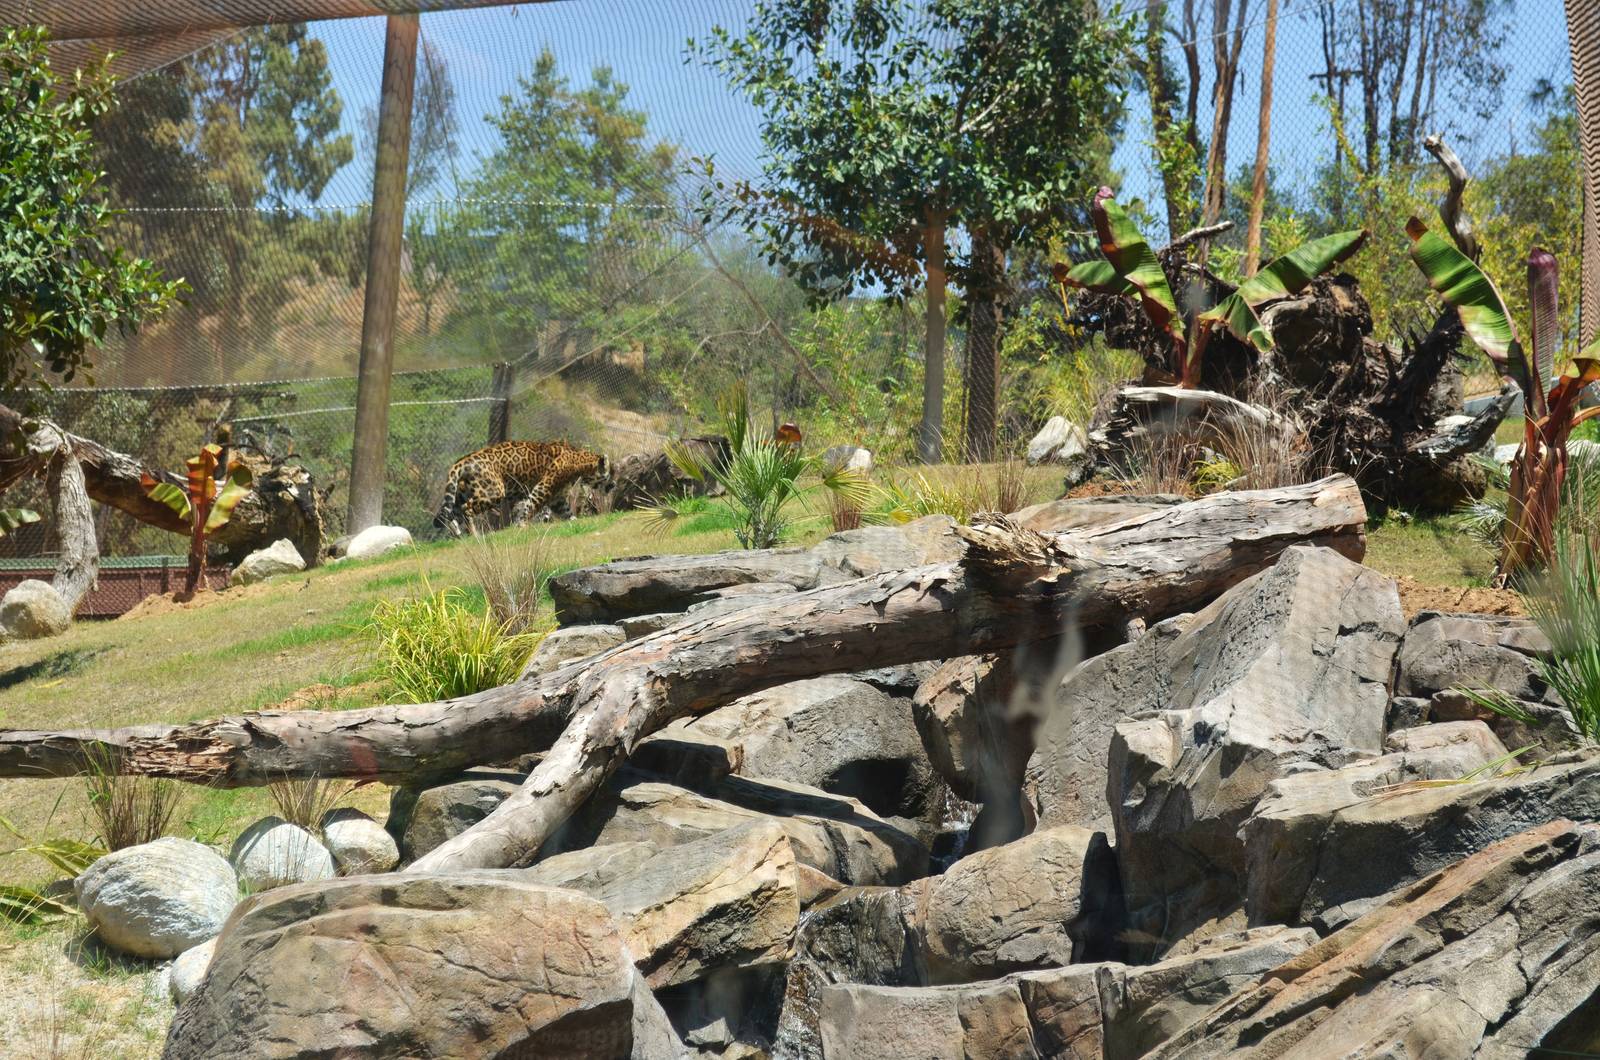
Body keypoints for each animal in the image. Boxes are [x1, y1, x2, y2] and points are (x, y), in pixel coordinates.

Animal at [433, 440, 610, 536]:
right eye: (608, 475)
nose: (612, 486)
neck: (579, 461)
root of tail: (461, 461)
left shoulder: (557, 498)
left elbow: (566, 511)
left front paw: (575, 521)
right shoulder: (544, 488)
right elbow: (531, 505)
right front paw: (522, 524)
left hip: (461, 493)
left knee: (452, 514)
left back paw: (460, 535)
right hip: (493, 492)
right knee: (466, 510)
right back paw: (476, 535)